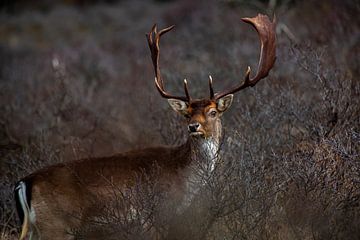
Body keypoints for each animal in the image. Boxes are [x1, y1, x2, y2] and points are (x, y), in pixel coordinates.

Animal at [12, 13, 274, 240]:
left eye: (212, 112)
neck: (183, 179)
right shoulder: (158, 215)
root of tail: (25, 182)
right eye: (187, 113)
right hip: (57, 226)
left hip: (36, 228)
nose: (194, 127)